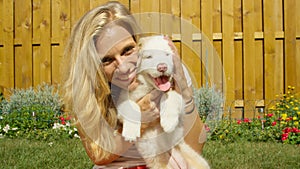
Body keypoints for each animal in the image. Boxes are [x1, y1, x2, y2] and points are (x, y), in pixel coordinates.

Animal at [116, 35, 210, 168]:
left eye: (167, 54)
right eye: (149, 57)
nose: (162, 67)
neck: (150, 88)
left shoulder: (177, 94)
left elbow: (170, 96)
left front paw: (169, 123)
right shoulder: (123, 99)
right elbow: (131, 108)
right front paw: (130, 132)